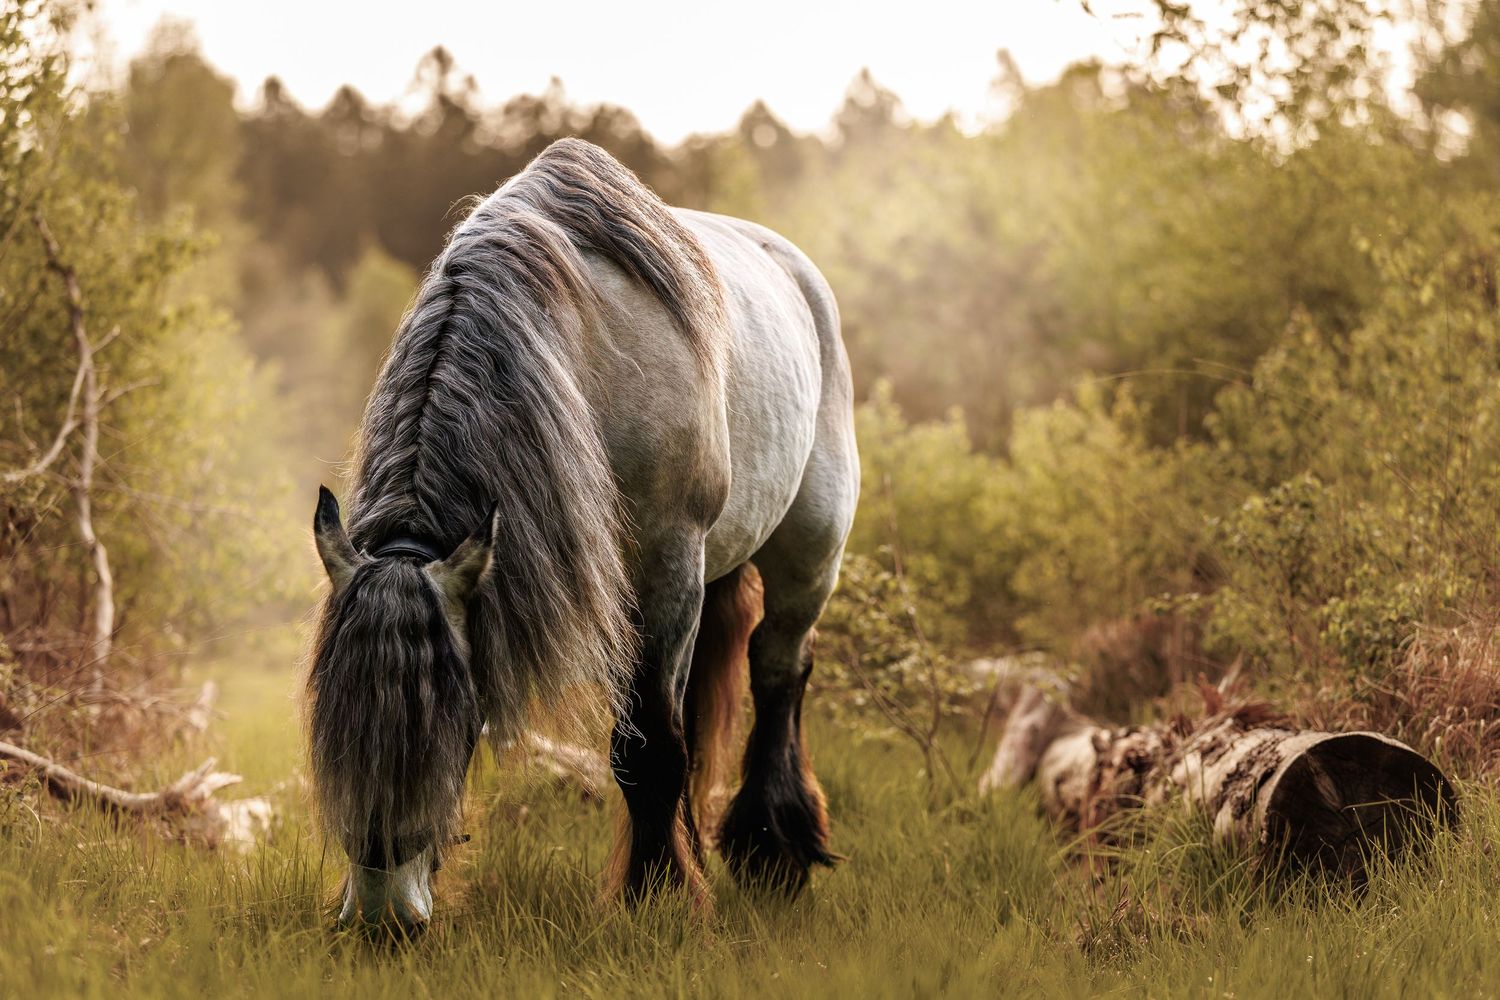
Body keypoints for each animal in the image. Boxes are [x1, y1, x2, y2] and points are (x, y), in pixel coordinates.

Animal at [305, 138, 858, 934]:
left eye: (442, 717)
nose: (382, 915)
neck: (583, 354)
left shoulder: (666, 567)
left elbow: (648, 748)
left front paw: (656, 896)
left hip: (810, 550)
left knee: (779, 670)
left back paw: (772, 849)